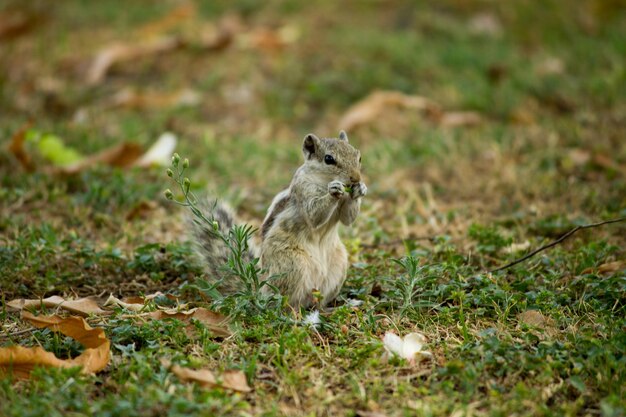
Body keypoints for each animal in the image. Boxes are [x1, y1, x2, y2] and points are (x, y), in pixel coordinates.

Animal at [190, 131, 366, 308]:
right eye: (329, 159)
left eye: (358, 156)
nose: (356, 178)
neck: (323, 181)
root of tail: (262, 290)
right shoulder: (303, 190)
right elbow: (314, 215)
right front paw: (334, 190)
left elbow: (348, 219)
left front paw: (360, 189)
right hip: (293, 265)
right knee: (285, 302)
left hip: (338, 266)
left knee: (317, 301)